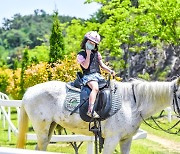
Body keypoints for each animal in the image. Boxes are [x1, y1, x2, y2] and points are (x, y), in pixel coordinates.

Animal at [16, 77, 179, 153]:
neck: (131, 103)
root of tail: (29, 91)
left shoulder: (126, 140)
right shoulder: (112, 139)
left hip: (50, 127)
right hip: (42, 129)